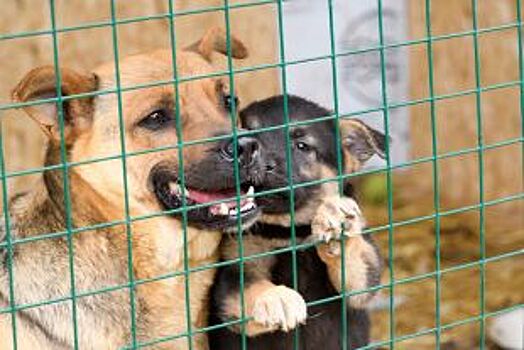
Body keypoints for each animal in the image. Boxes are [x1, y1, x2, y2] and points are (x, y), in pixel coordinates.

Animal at [208, 95, 384, 350]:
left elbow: (361, 272)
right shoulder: (230, 279)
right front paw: (275, 298)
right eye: (249, 135)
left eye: (302, 146)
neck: (287, 231)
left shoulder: (362, 285)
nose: (261, 164)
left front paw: (335, 218)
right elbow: (249, 286)